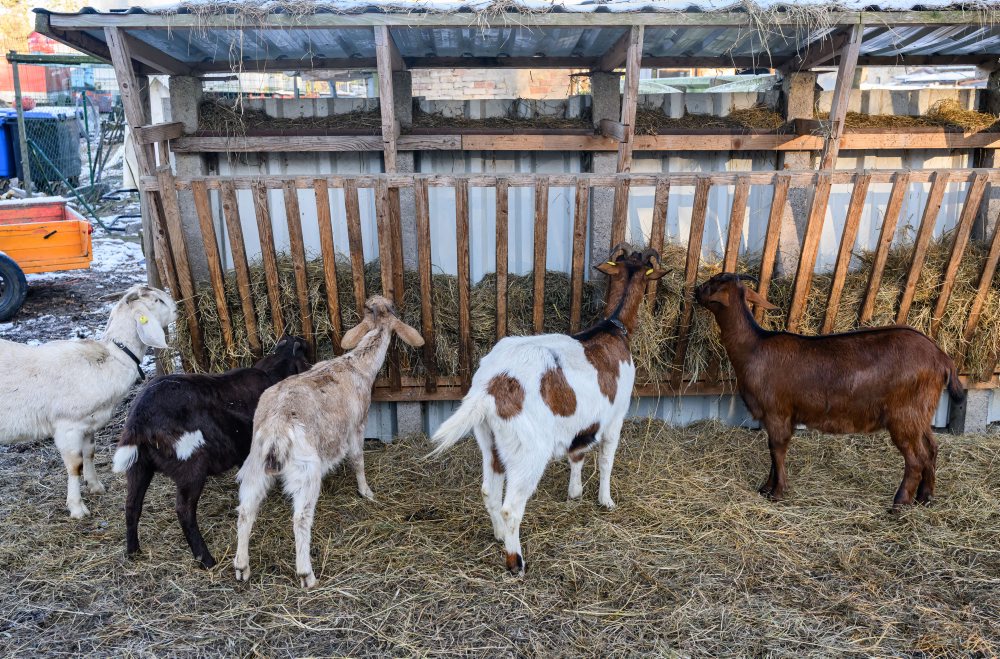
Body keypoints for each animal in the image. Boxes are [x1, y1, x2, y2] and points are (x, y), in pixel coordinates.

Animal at [0, 286, 176, 520]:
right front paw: (77, 508)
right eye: (157, 301)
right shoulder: (68, 426)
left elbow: (89, 453)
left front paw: (95, 486)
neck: (110, 359)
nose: (177, 309)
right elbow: (75, 465)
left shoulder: (88, 423)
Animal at [113, 336, 310, 568]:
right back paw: (206, 559)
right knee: (184, 510)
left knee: (131, 504)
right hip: (191, 466)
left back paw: (133, 551)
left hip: (138, 465)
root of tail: (139, 420)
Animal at [233, 296, 422, 592]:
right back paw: (306, 574)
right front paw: (366, 492)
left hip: (255, 462)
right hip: (306, 471)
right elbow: (357, 459)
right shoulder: (357, 425)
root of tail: (276, 428)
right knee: (300, 518)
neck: (358, 365)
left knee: (246, 509)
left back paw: (242, 567)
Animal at [428, 245, 668, 576]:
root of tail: (491, 387)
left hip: (490, 440)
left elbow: (577, 455)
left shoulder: (581, 423)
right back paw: (516, 562)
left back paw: (499, 535)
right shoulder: (615, 417)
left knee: (490, 491)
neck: (613, 330)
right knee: (511, 507)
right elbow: (606, 460)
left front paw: (575, 492)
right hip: (529, 450)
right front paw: (605, 500)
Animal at [692, 274, 964, 510]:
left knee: (916, 458)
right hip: (921, 412)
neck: (754, 347)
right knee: (932, 449)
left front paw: (777, 492)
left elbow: (777, 449)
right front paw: (766, 488)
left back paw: (899, 503)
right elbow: (773, 451)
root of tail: (941, 358)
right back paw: (925, 497)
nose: (695, 290)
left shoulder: (777, 411)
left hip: (904, 415)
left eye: (713, 282)